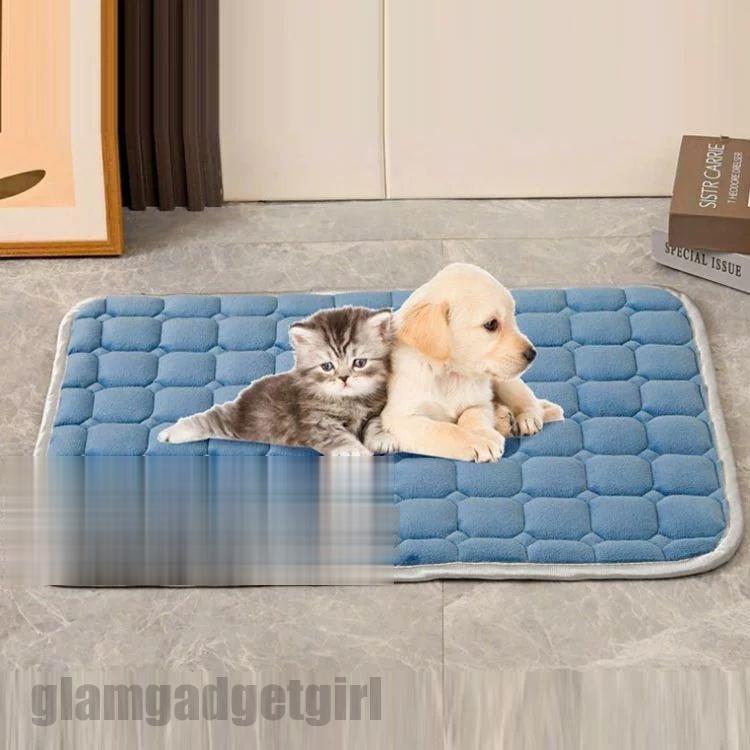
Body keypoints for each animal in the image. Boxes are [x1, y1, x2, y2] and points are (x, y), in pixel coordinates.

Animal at [157, 306, 393, 456]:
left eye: (359, 362)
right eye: (327, 366)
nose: (344, 378)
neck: (349, 401)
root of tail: (248, 392)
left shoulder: (376, 410)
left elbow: (374, 423)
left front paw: (382, 438)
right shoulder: (315, 422)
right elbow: (337, 437)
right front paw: (355, 450)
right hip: (243, 424)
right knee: (210, 418)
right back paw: (170, 433)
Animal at [368, 263, 563, 462]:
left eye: (512, 316)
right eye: (491, 324)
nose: (533, 354)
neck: (450, 373)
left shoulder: (478, 404)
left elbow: (471, 417)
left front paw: (484, 434)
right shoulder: (401, 419)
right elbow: (445, 430)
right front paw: (478, 442)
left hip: (505, 382)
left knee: (531, 402)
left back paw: (527, 418)